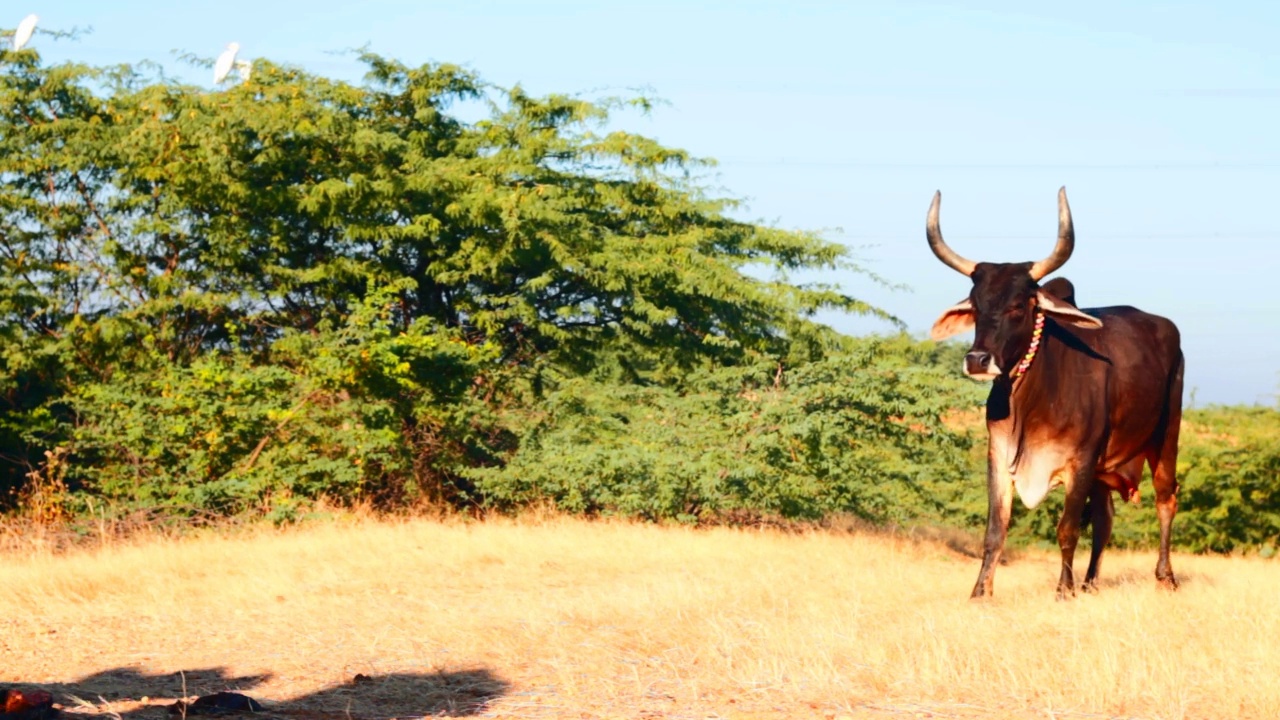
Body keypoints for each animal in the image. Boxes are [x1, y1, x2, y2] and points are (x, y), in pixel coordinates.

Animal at [926, 188, 1182, 597]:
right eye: (976, 306)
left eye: (1018, 305)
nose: (978, 360)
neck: (1031, 403)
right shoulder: (999, 456)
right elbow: (995, 530)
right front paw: (980, 592)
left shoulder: (1081, 461)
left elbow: (1067, 530)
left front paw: (1063, 590)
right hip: (1105, 468)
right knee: (1106, 518)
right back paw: (1091, 583)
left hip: (1165, 435)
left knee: (1165, 499)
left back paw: (1165, 577)